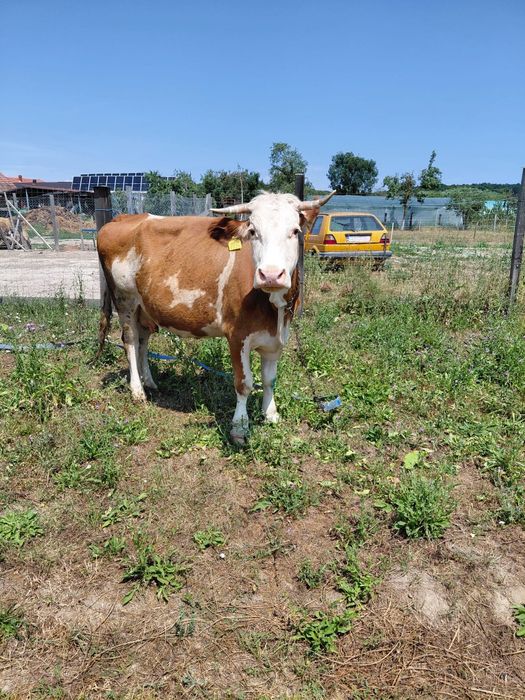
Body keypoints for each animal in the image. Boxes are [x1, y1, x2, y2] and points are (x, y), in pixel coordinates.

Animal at [96, 190, 335, 442]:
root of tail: (122, 218)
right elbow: (244, 383)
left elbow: (269, 380)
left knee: (143, 340)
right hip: (125, 299)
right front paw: (239, 427)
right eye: (253, 231)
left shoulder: (276, 338)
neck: (273, 309)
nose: (270, 275)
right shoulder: (237, 336)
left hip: (145, 306)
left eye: (295, 231)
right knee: (130, 341)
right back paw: (137, 391)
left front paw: (271, 414)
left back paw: (149, 382)